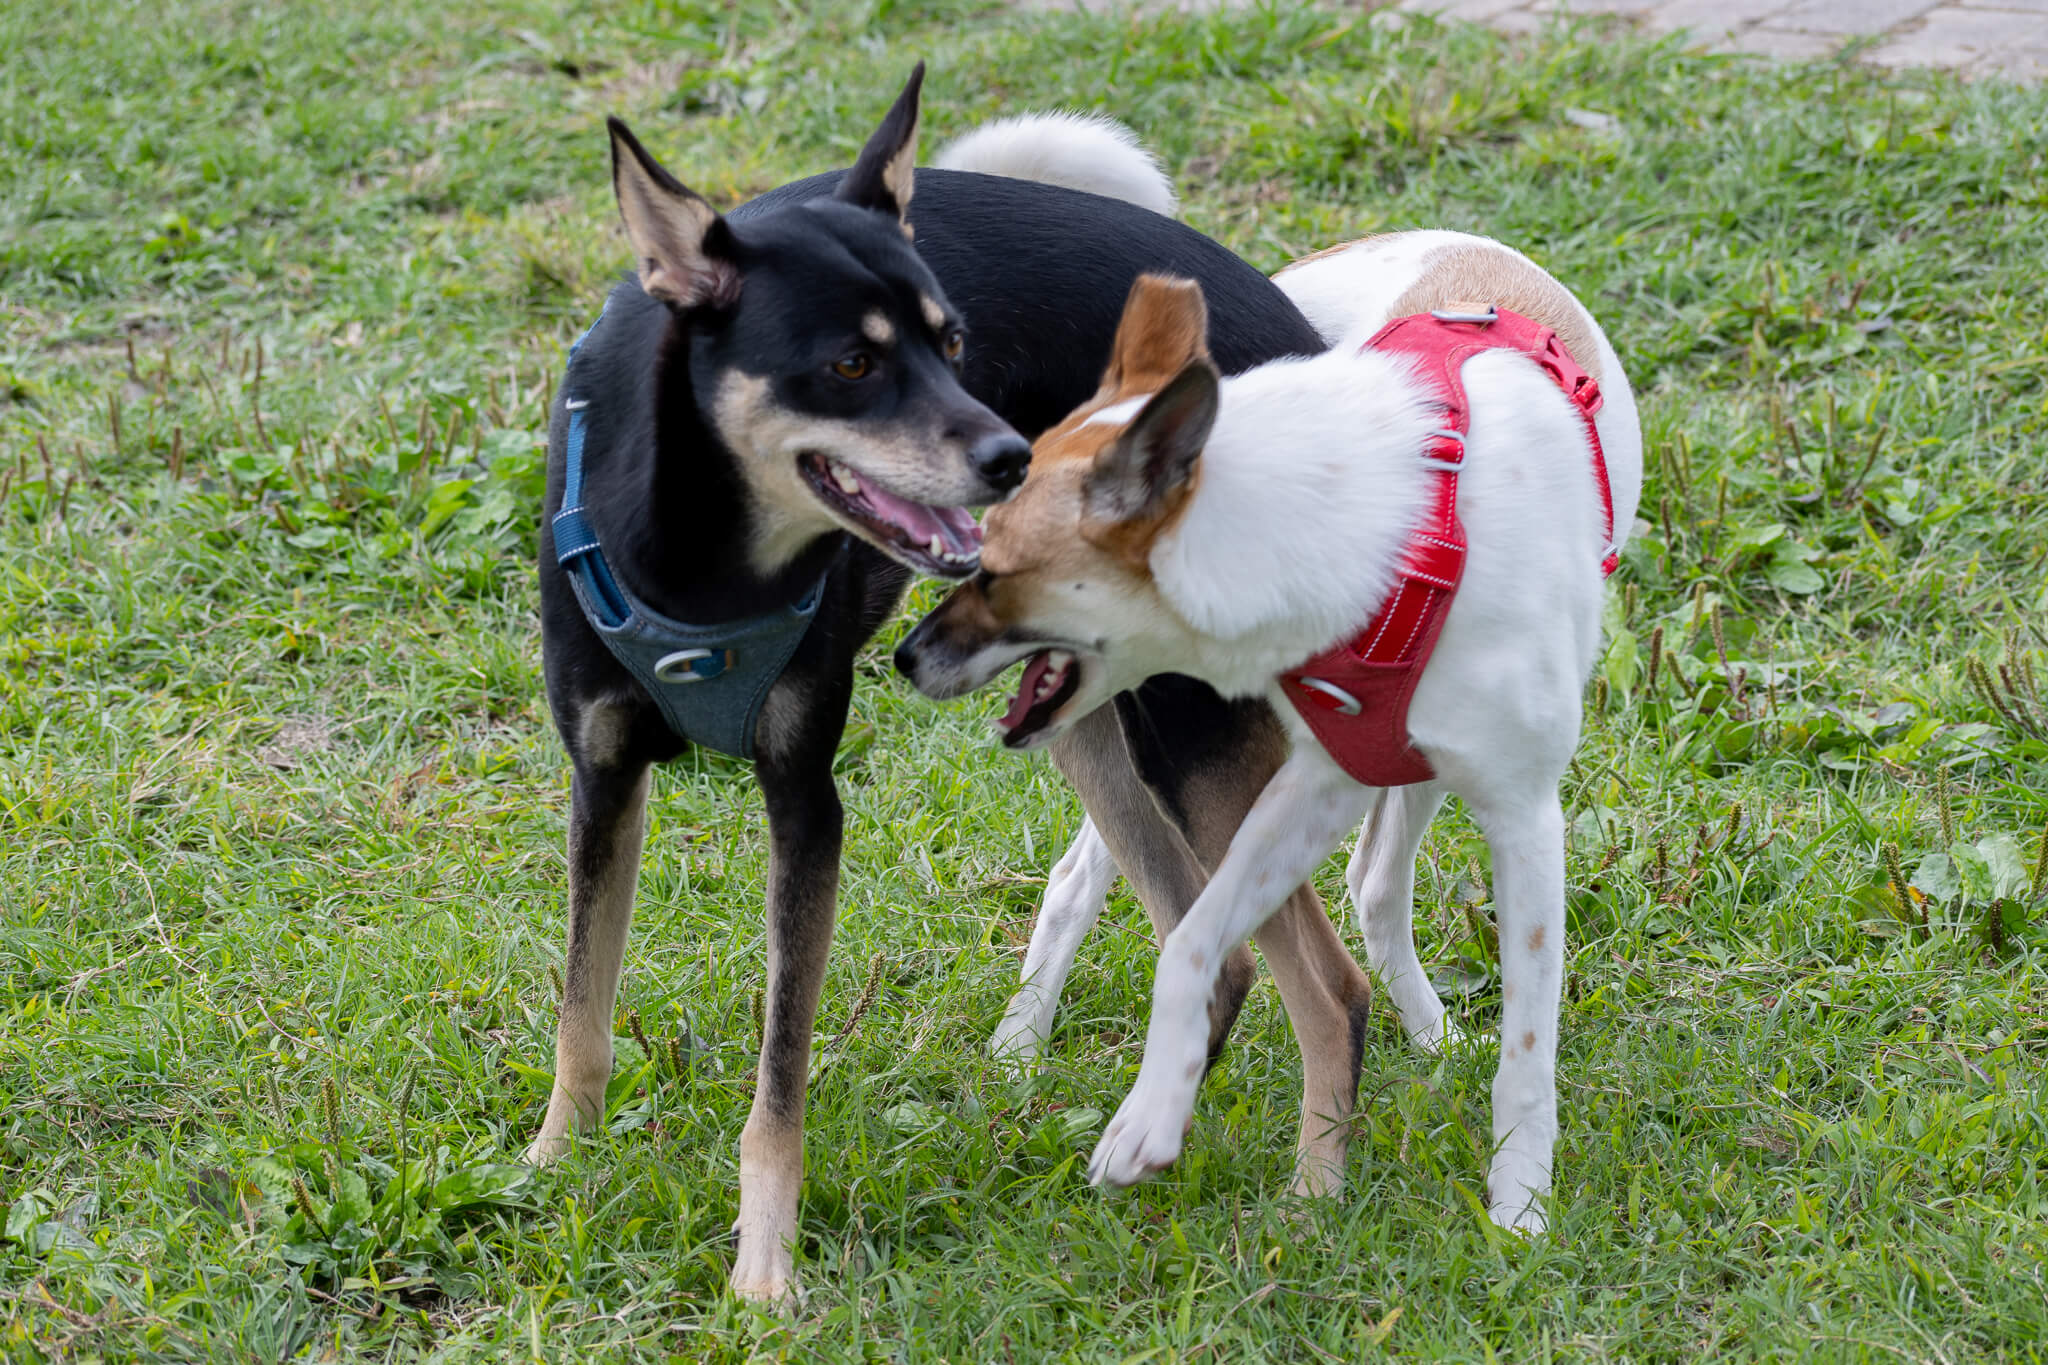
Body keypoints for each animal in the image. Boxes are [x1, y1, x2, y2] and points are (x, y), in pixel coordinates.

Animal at [528, 69, 1376, 1309]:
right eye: (850, 363)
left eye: (953, 341)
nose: (1013, 455)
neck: (700, 557)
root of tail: (1295, 337)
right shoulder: (601, 777)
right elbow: (582, 1002)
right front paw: (558, 1163)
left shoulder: (805, 803)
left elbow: (777, 1075)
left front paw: (764, 1266)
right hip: (1088, 721)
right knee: (1210, 952)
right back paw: (1137, 1141)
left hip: (1189, 737)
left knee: (1329, 986)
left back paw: (1311, 1204)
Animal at [897, 232, 1646, 1227]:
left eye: (995, 570)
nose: (905, 657)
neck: (1385, 540)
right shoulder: (1307, 784)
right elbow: (1190, 941)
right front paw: (1146, 1120)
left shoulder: (1520, 819)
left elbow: (1527, 1055)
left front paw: (1519, 1209)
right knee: (1092, 876)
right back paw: (1022, 1046)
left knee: (1374, 882)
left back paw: (1431, 1032)